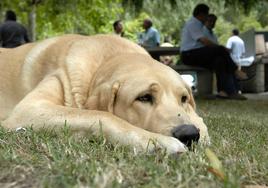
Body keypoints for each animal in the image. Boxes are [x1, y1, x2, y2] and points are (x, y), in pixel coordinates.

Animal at [0, 34, 209, 153]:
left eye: (183, 98)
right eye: (144, 97)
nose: (189, 134)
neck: (108, 57)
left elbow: (199, 121)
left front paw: (200, 129)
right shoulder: (29, 108)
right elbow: (102, 115)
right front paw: (157, 142)